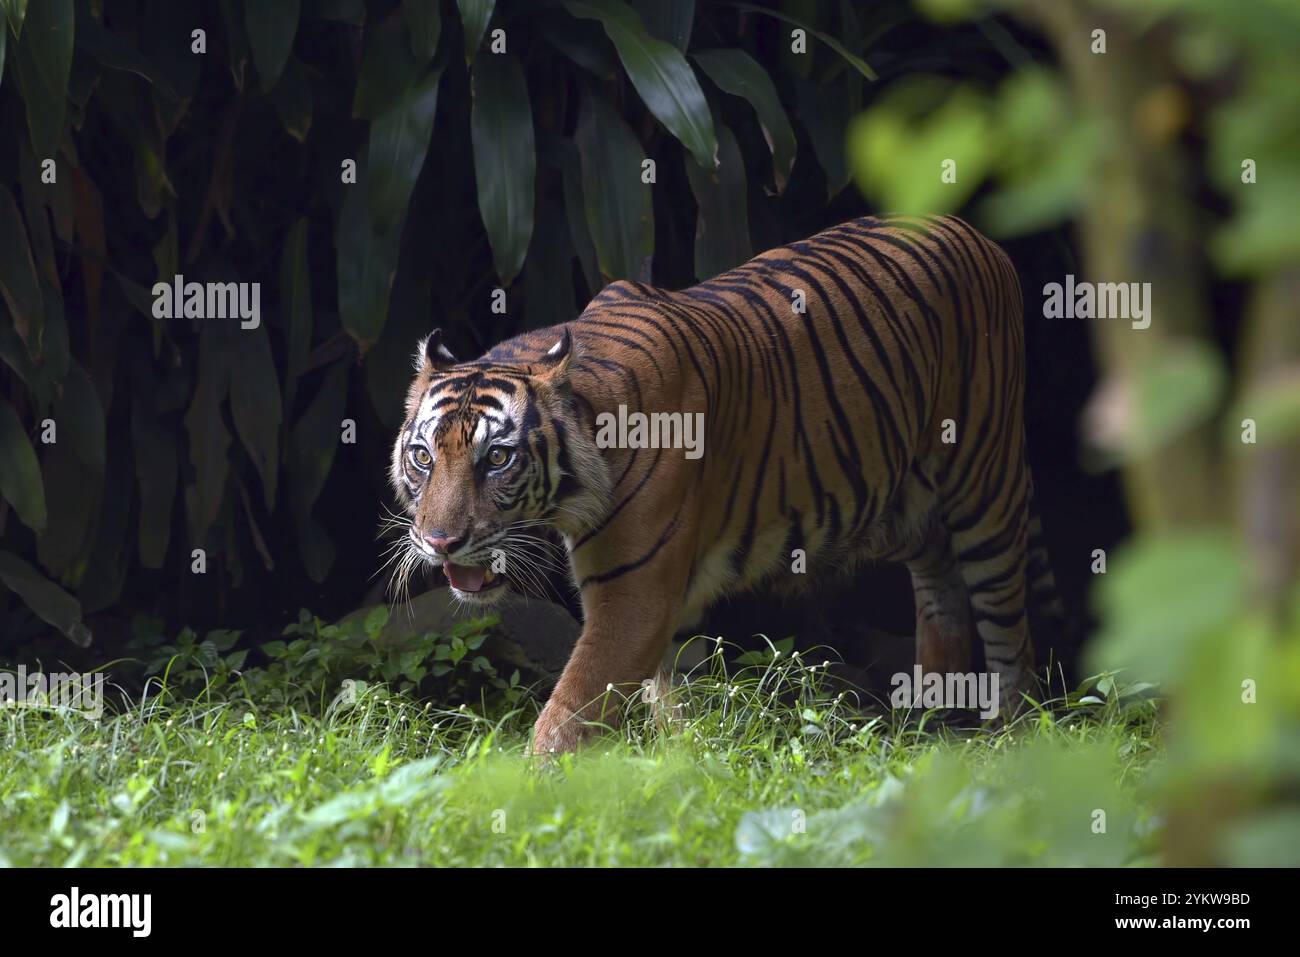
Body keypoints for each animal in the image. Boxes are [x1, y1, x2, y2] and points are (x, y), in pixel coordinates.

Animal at [390, 217, 1060, 754]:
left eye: (497, 459)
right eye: (423, 457)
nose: (440, 543)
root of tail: (974, 234)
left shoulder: (633, 592)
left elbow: (571, 710)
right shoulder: (657, 599)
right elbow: (665, 695)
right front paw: (680, 763)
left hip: (985, 484)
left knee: (1008, 625)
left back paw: (1008, 738)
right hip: (895, 502)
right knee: (940, 580)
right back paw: (932, 720)